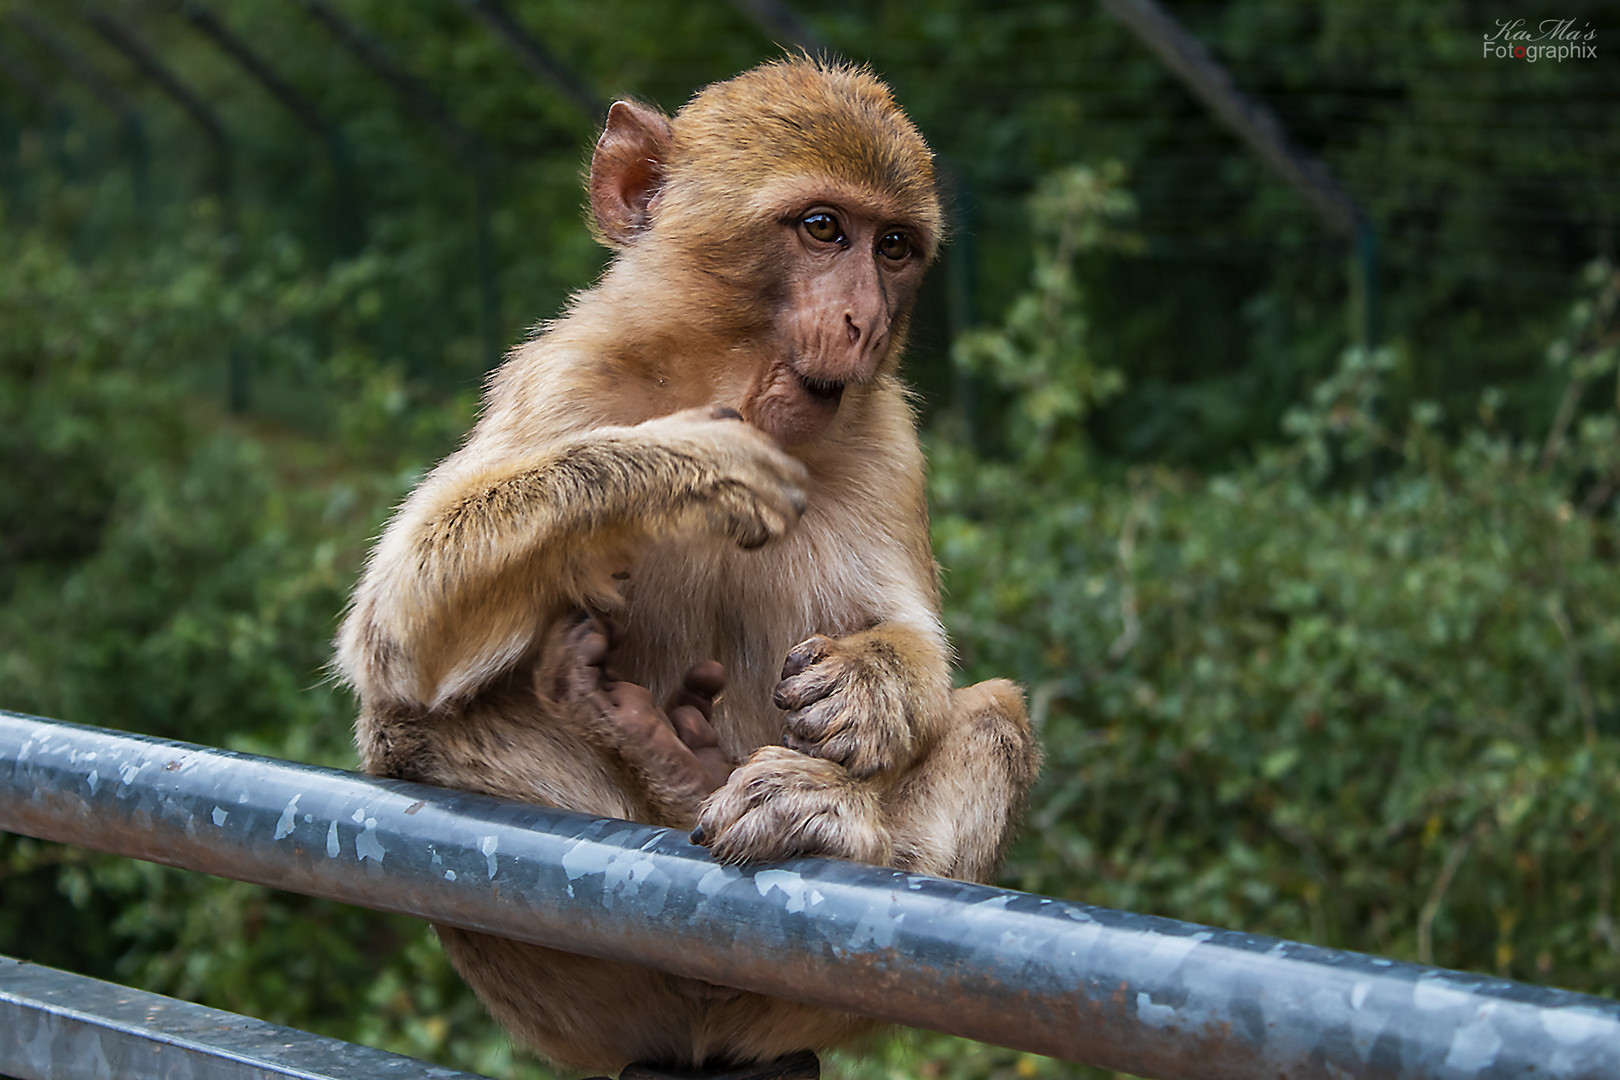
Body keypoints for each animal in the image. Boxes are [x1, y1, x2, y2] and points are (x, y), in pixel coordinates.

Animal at [336, 57, 1036, 1075]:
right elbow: (396, 634)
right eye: (823, 228)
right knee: (403, 728)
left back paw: (820, 819)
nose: (867, 321)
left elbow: (920, 653)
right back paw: (663, 760)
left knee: (994, 715)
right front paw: (692, 467)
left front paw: (870, 685)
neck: (718, 375)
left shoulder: (887, 439)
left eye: (897, 247)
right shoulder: (563, 380)